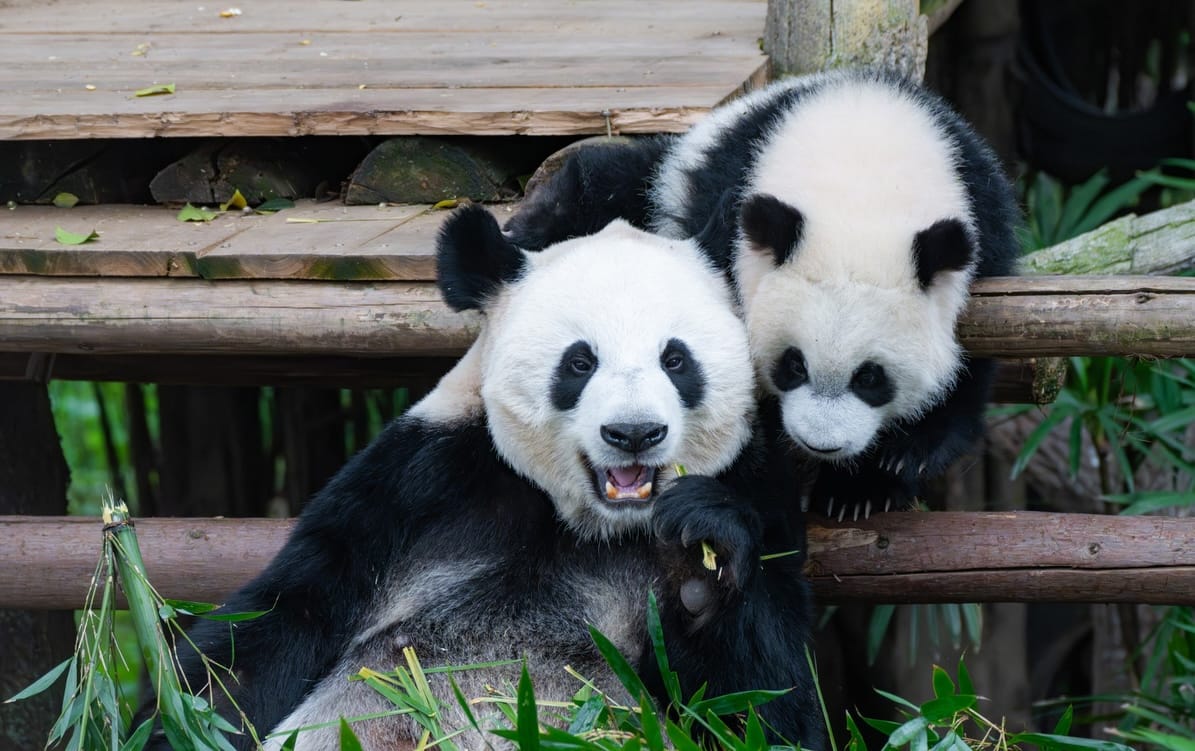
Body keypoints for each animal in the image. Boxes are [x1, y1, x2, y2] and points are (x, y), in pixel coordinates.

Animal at [150, 206, 826, 750]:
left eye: (676, 359)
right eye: (580, 362)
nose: (633, 433)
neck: (586, 524)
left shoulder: (760, 488)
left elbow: (766, 705)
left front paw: (701, 558)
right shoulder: (418, 487)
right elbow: (272, 633)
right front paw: (185, 724)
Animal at [506, 68, 1021, 521]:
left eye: (870, 378)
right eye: (793, 365)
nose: (821, 444)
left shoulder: (984, 227)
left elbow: (971, 361)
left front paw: (872, 480)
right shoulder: (722, 212)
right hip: (669, 177)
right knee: (610, 181)